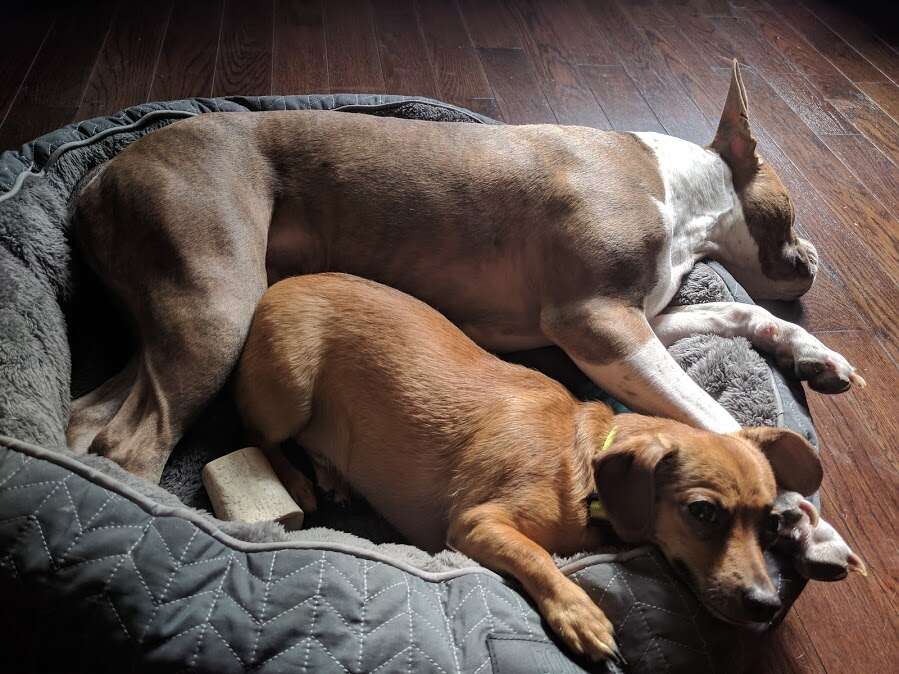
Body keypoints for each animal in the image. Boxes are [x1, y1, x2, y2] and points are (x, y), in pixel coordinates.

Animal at [236, 272, 828, 660]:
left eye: (771, 522)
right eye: (702, 513)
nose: (767, 605)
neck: (584, 464)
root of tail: (280, 284)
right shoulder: (477, 523)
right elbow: (538, 557)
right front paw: (580, 613)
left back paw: (331, 472)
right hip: (289, 390)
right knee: (260, 437)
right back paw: (298, 483)